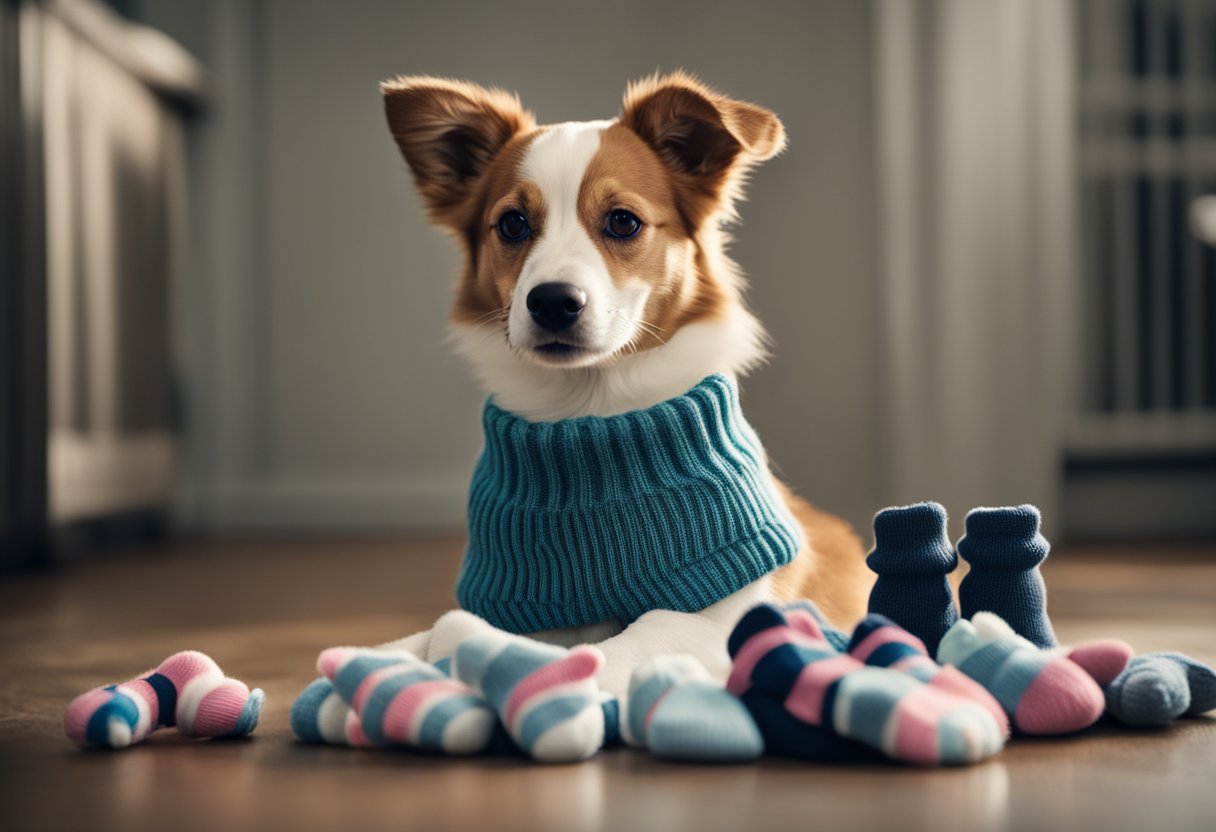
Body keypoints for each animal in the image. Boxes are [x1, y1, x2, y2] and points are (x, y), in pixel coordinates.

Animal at [374, 71, 870, 700]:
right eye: (512, 224)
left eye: (623, 221)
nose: (553, 302)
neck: (592, 420)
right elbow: (423, 635)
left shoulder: (724, 614)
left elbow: (617, 645)